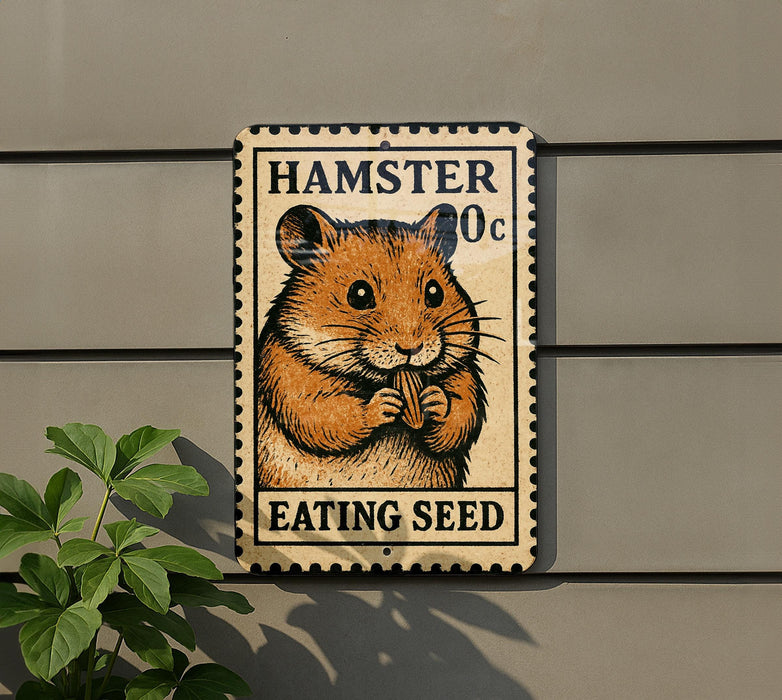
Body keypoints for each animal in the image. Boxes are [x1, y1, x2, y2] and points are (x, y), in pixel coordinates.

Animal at [255, 203, 488, 488]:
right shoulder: (288, 373)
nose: (411, 348)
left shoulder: (464, 375)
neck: (378, 379)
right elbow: (321, 413)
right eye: (359, 294)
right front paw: (385, 403)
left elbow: (462, 411)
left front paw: (433, 400)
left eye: (435, 292)